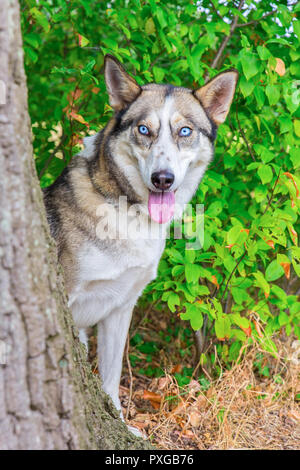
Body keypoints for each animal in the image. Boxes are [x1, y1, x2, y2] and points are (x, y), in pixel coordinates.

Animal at [43, 55, 238, 434]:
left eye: (185, 131)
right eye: (144, 130)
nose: (163, 179)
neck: (126, 208)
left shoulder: (120, 307)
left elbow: (110, 376)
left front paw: (119, 423)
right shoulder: (69, 300)